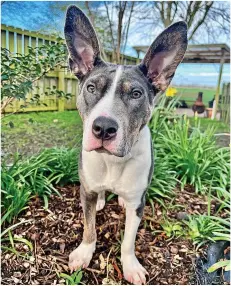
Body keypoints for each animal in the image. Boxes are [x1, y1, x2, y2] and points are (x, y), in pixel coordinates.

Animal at [64, 6, 188, 284]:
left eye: (136, 94)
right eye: (91, 87)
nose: (103, 128)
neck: (113, 161)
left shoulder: (137, 204)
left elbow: (129, 241)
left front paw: (130, 265)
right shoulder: (87, 190)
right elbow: (89, 227)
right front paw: (84, 252)